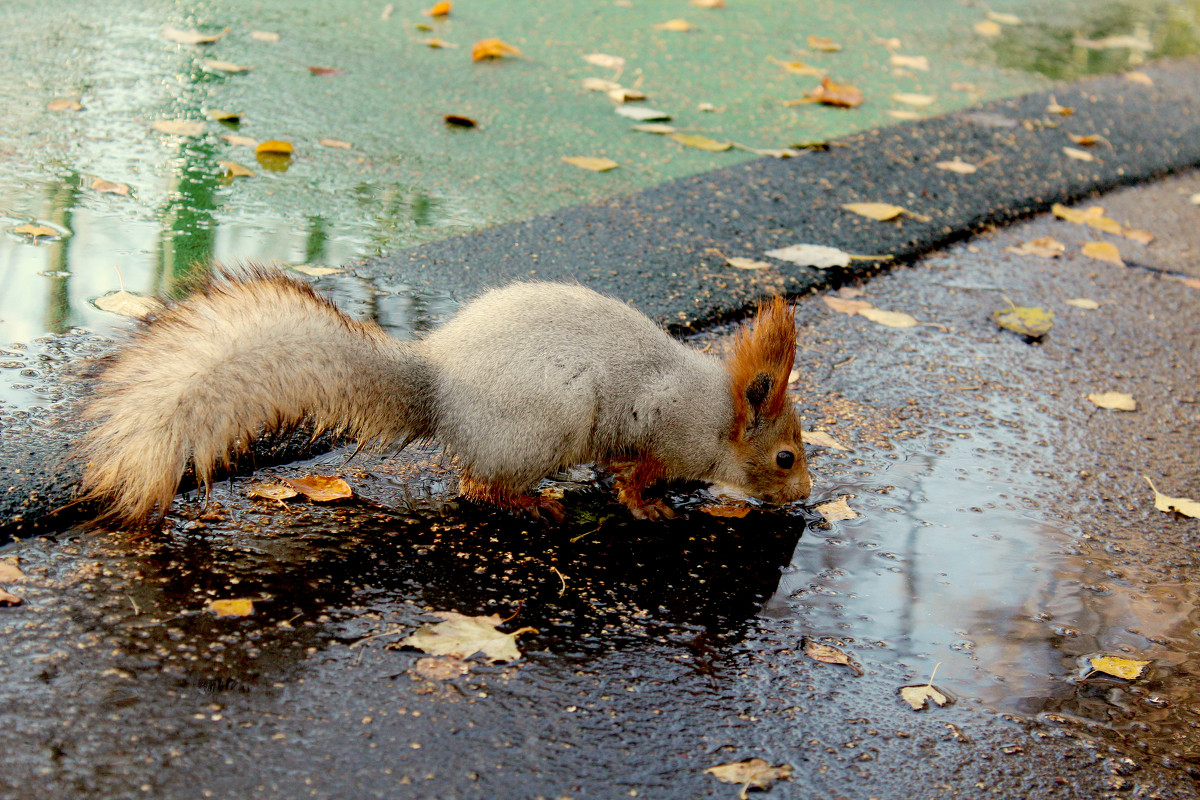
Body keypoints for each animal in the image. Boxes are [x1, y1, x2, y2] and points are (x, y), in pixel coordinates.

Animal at [77, 268, 816, 525]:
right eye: (784, 457)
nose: (806, 493)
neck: (714, 415)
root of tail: (441, 390)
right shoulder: (660, 427)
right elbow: (638, 475)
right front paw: (648, 503)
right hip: (544, 428)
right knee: (476, 485)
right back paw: (532, 500)